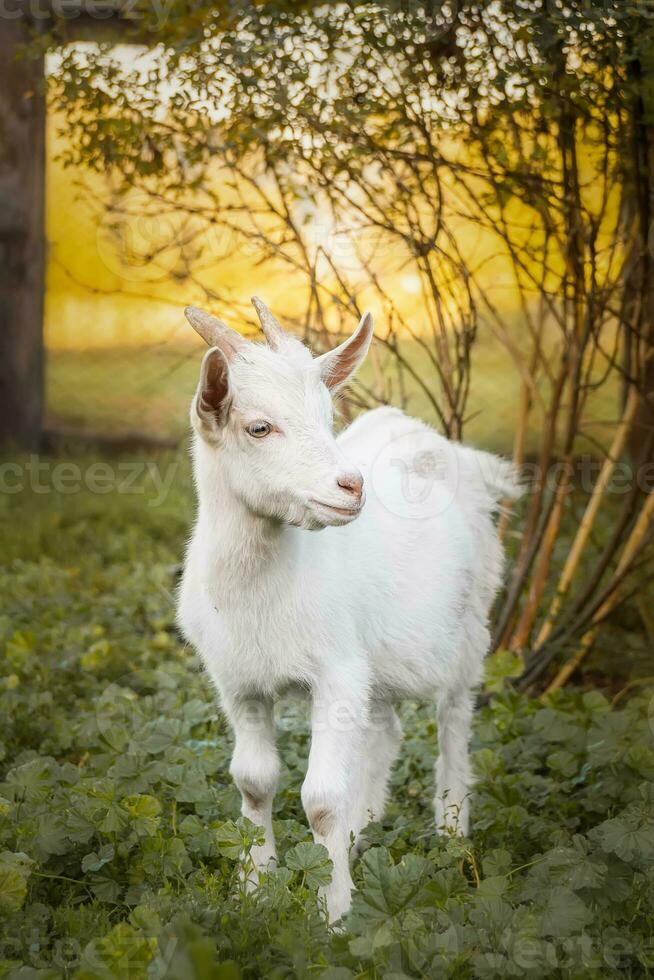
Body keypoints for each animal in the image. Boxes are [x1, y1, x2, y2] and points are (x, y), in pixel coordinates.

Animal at [176, 296, 524, 920]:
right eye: (259, 426)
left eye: (327, 416)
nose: (352, 486)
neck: (262, 587)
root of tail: (449, 448)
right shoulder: (239, 681)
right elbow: (253, 781)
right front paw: (252, 890)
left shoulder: (335, 672)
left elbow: (320, 798)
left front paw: (335, 913)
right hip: (376, 662)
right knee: (385, 729)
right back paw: (362, 833)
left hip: (471, 626)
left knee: (454, 720)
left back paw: (452, 831)